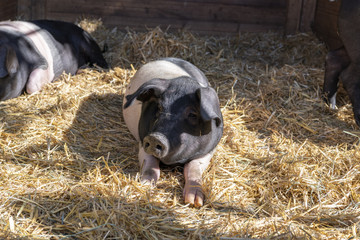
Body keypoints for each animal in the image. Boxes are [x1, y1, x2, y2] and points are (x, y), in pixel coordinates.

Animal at [124, 57, 225, 206]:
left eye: (192, 114)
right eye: (159, 107)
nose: (155, 137)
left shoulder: (208, 151)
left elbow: (193, 168)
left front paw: (194, 201)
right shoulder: (143, 142)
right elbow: (150, 166)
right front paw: (145, 186)